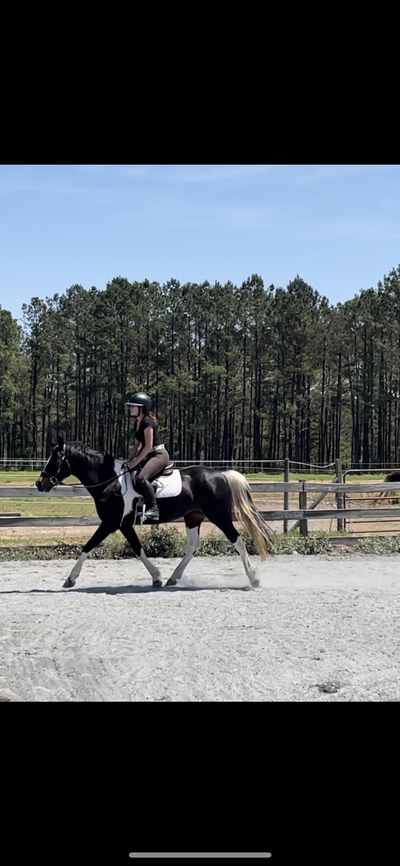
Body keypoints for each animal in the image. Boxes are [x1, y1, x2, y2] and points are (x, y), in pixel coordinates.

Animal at [35, 437, 274, 590]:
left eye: (55, 460)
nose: (39, 483)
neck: (110, 481)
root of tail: (221, 474)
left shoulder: (110, 523)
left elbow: (88, 546)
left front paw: (70, 579)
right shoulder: (124, 524)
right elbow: (137, 549)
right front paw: (157, 577)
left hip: (219, 516)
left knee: (238, 541)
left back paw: (254, 579)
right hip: (193, 517)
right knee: (193, 547)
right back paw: (173, 579)